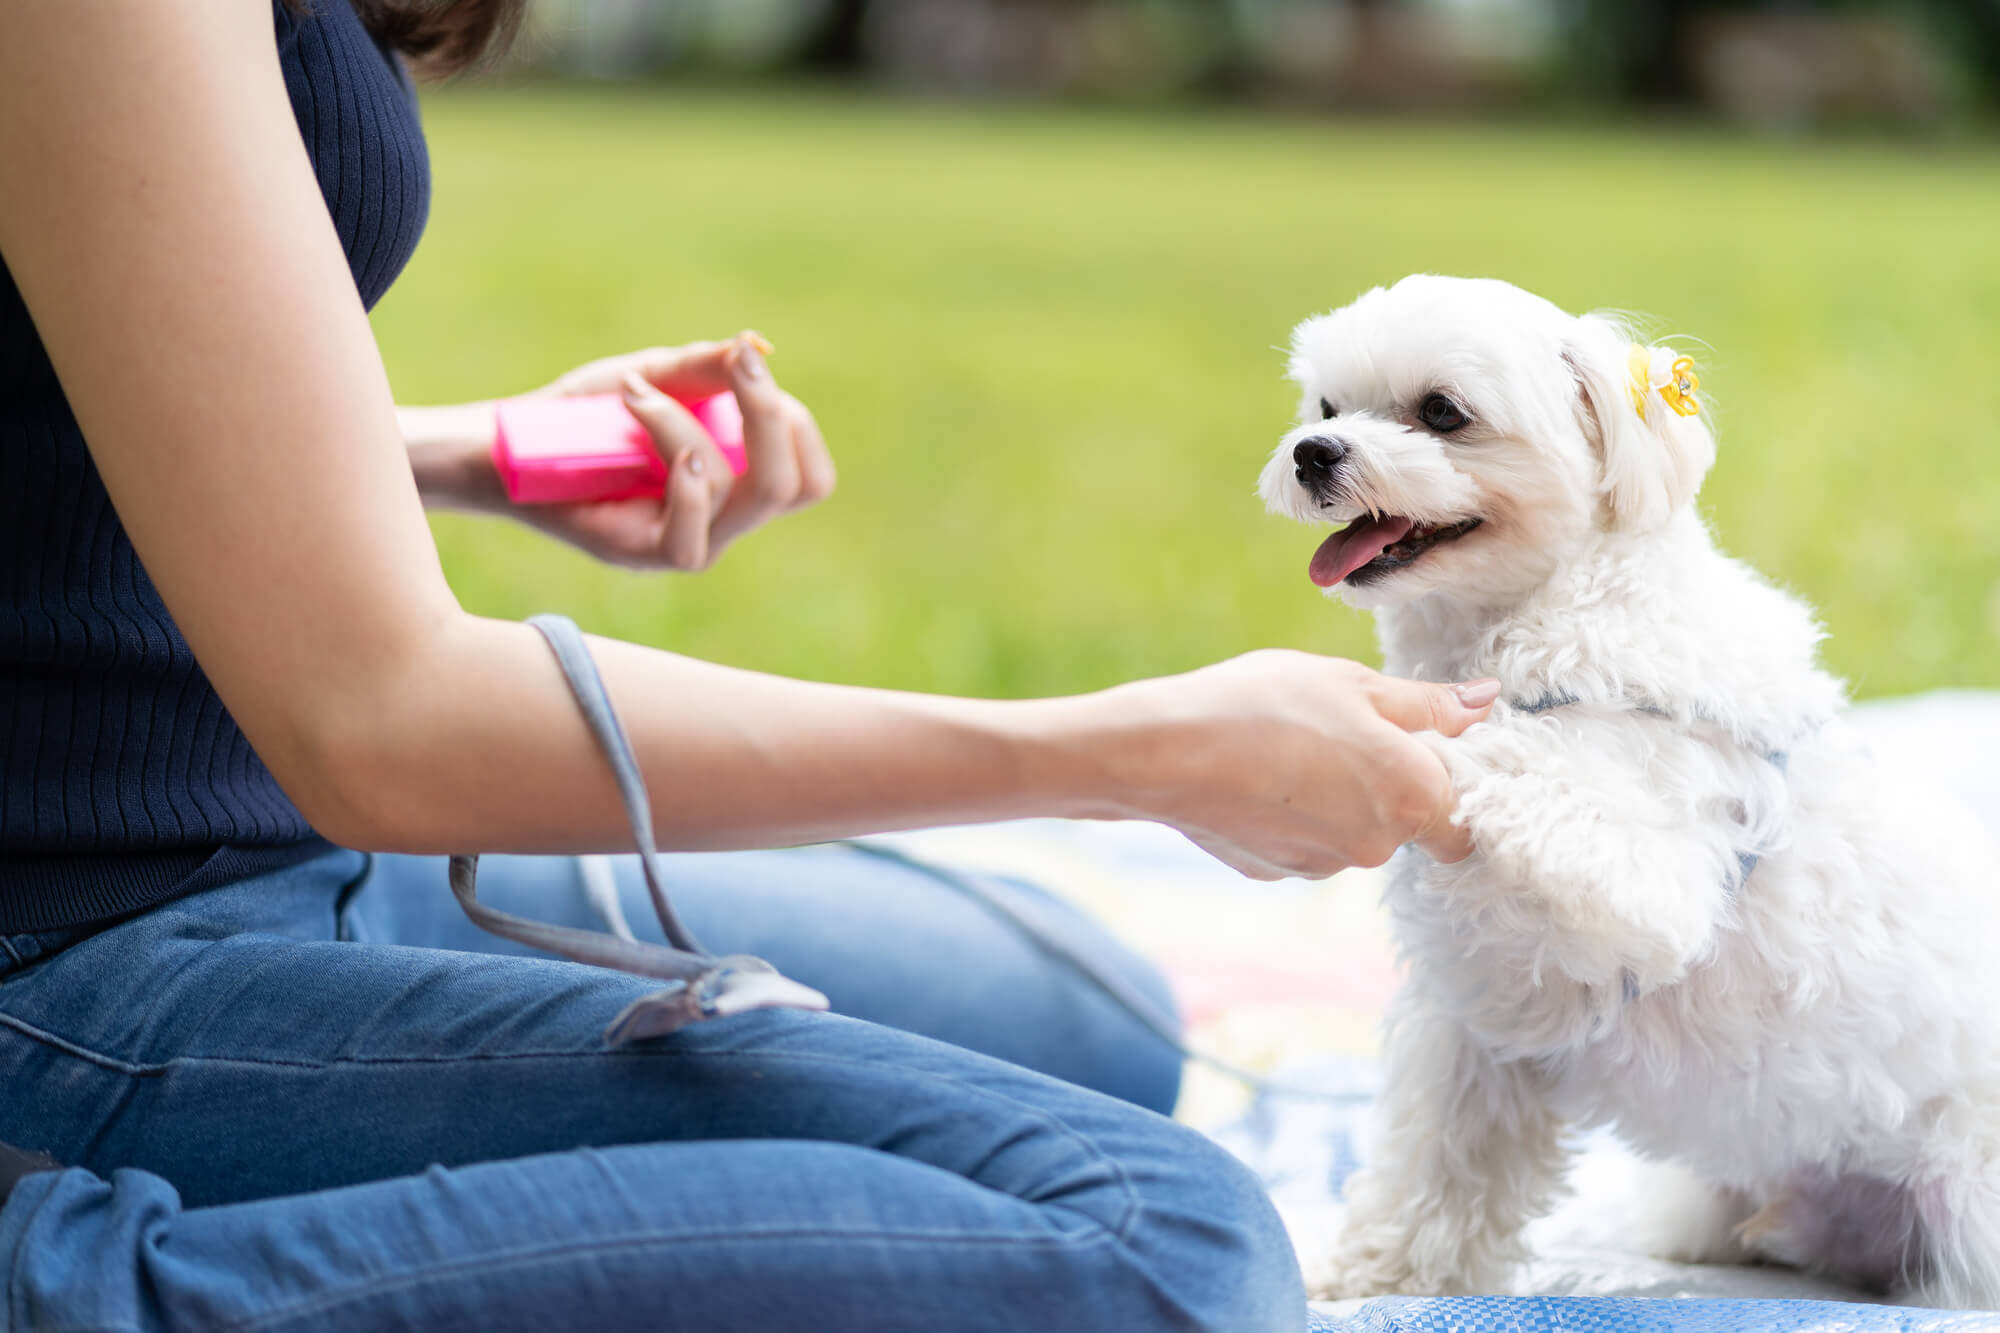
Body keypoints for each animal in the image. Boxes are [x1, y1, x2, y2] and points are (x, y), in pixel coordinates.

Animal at [1256, 274, 2000, 1304]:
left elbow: (1518, 769)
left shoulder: (1644, 879)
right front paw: (1372, 1279)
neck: (1539, 617)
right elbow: (1433, 1169)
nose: (1313, 452)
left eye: (1442, 412)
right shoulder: (1478, 1015)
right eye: (1326, 407)